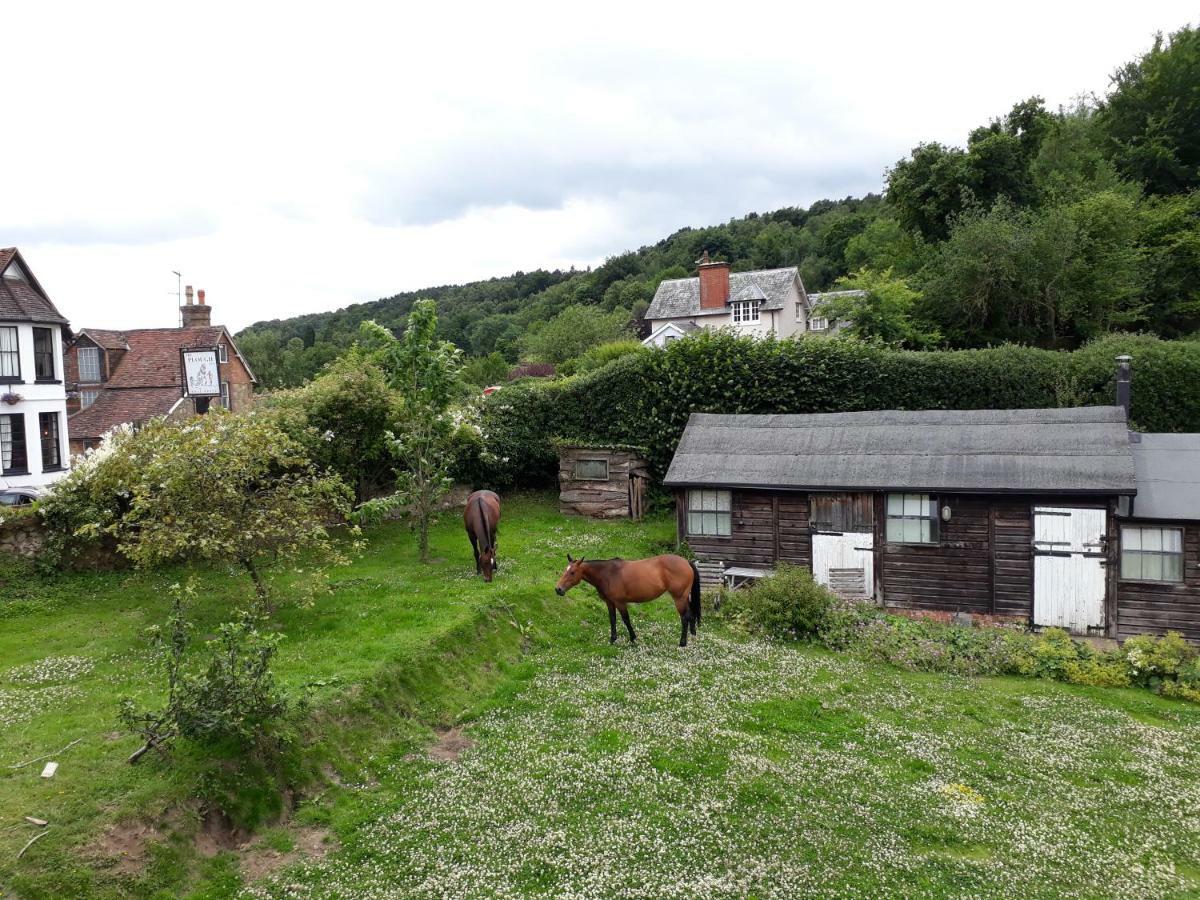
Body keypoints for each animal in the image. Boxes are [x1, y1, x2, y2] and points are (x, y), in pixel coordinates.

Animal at [554, 556, 700, 648]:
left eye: (572, 572)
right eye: (565, 570)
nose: (558, 589)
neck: (607, 573)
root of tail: (686, 562)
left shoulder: (620, 603)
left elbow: (626, 619)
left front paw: (633, 638)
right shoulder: (609, 602)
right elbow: (612, 619)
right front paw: (612, 639)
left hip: (679, 598)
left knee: (684, 617)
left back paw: (682, 642)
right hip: (685, 598)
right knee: (691, 615)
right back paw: (693, 636)